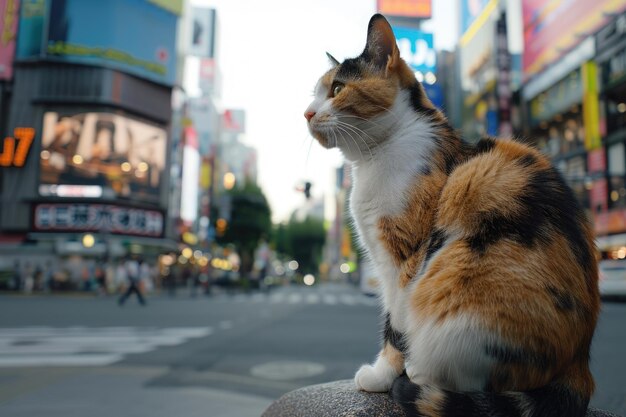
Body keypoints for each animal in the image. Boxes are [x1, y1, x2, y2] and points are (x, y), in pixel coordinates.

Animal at [304, 13, 596, 416]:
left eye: (336, 89)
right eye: (315, 94)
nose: (307, 113)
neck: (376, 156)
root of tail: (580, 363)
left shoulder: (405, 258)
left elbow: (395, 325)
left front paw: (381, 375)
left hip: (457, 296)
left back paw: (420, 375)